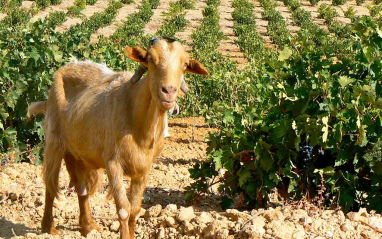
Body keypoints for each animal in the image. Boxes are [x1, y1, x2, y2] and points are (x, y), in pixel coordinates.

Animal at [29, 38, 209, 238]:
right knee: (50, 183)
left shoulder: (143, 168)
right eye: (150, 59)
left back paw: (88, 227)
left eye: (185, 65)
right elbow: (123, 209)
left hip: (80, 153)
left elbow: (135, 209)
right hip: (54, 140)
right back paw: (48, 227)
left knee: (81, 189)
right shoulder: (113, 163)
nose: (168, 91)